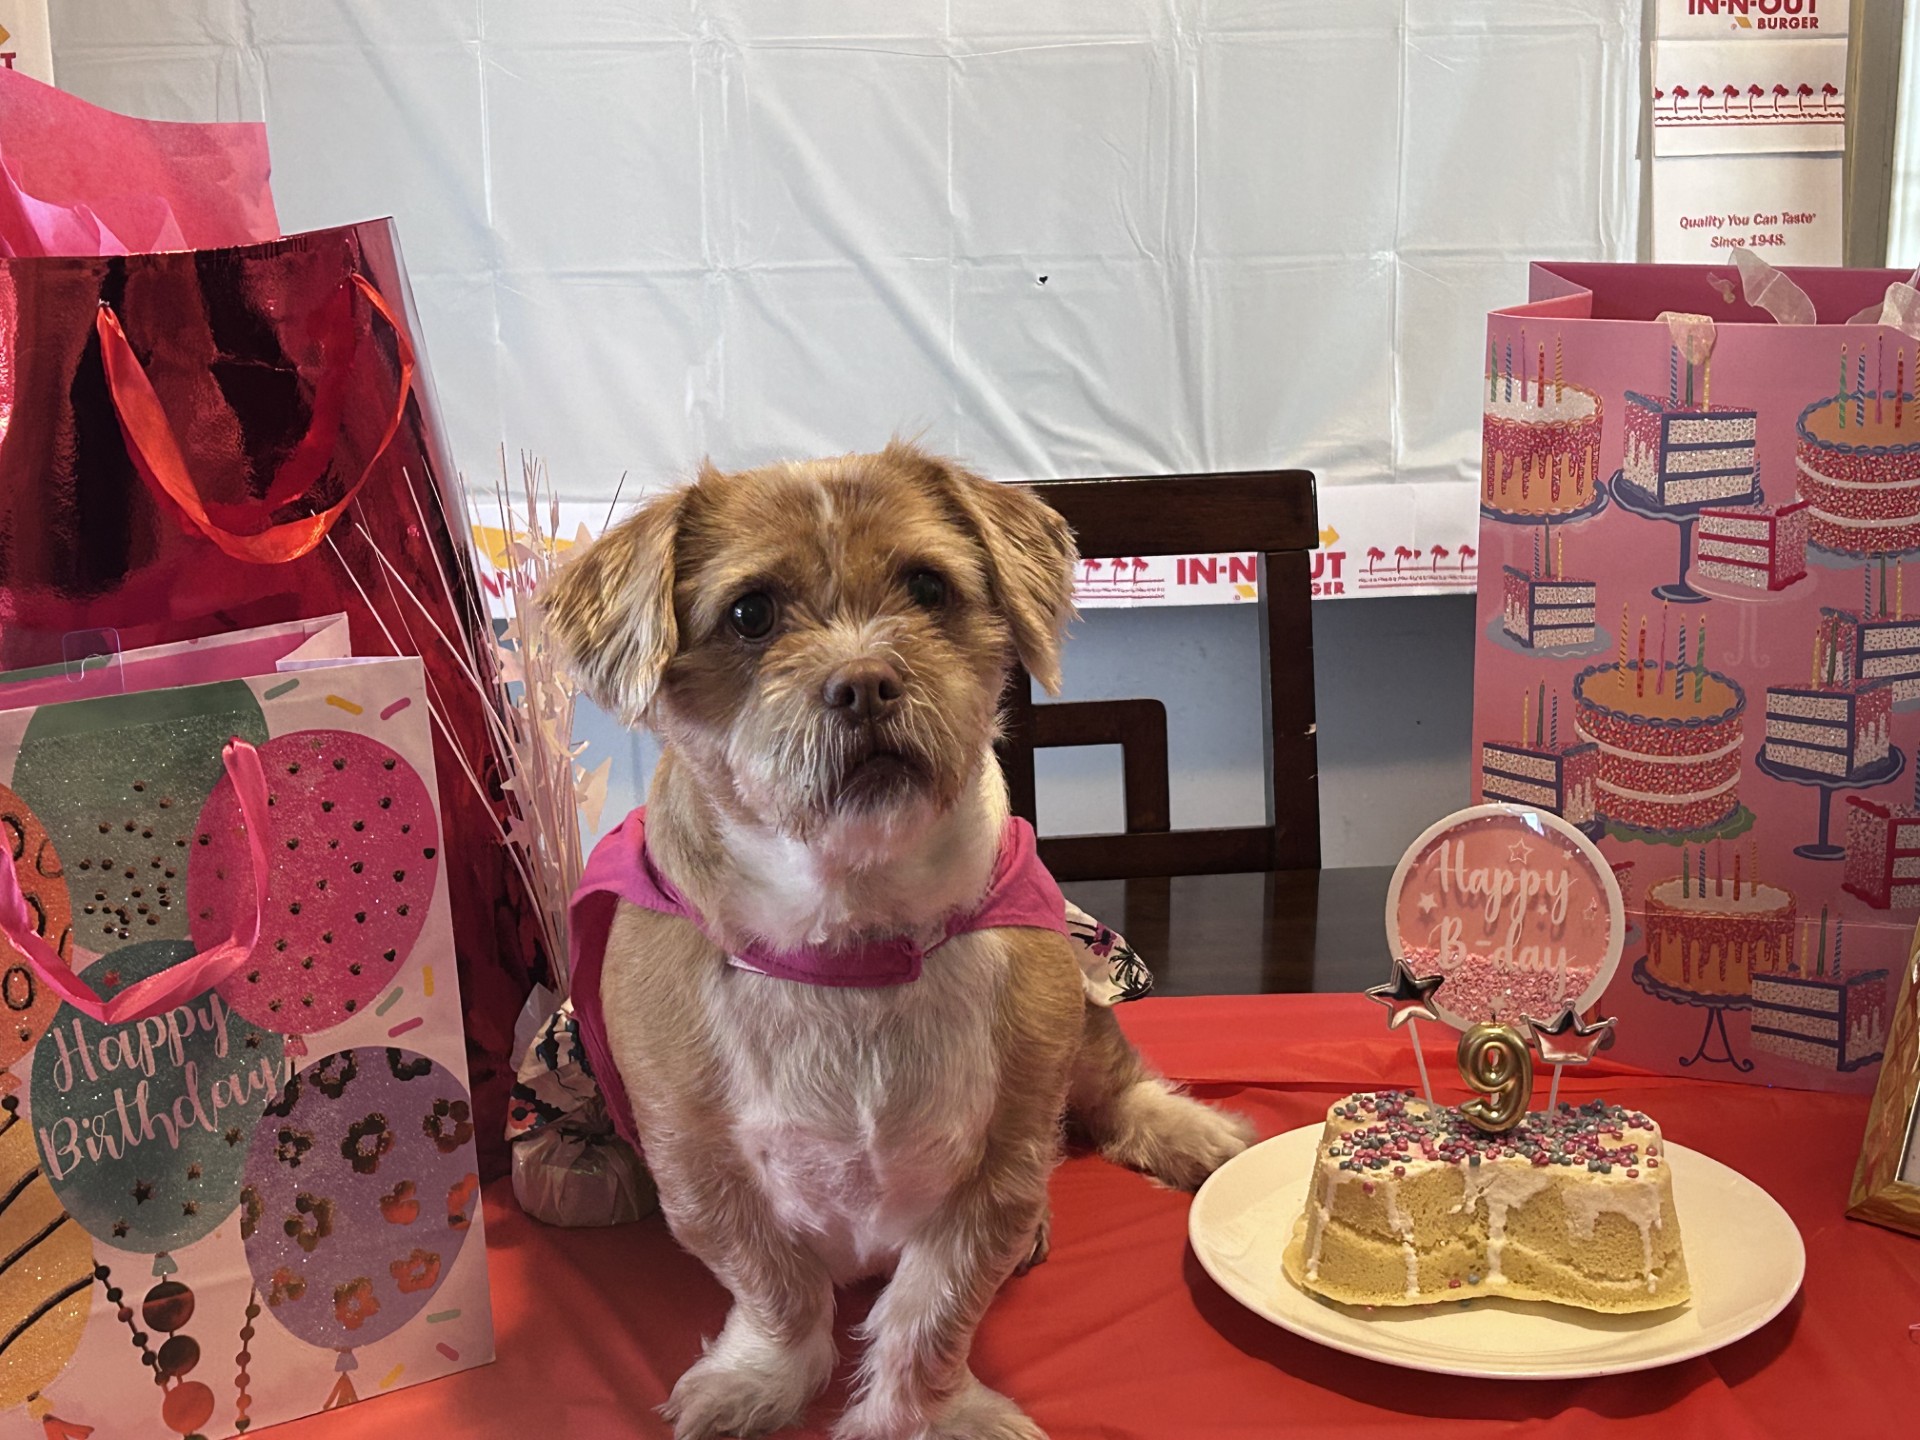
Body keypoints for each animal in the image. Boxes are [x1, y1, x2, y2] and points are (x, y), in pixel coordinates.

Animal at [542, 441, 1252, 1440]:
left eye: (927, 584)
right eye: (750, 612)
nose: (867, 681)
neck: (853, 939)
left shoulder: (999, 1163)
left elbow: (934, 1309)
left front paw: (928, 1414)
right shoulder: (698, 1166)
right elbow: (776, 1288)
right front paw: (761, 1380)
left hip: (1079, 1023)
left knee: (1117, 1089)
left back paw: (1189, 1132)